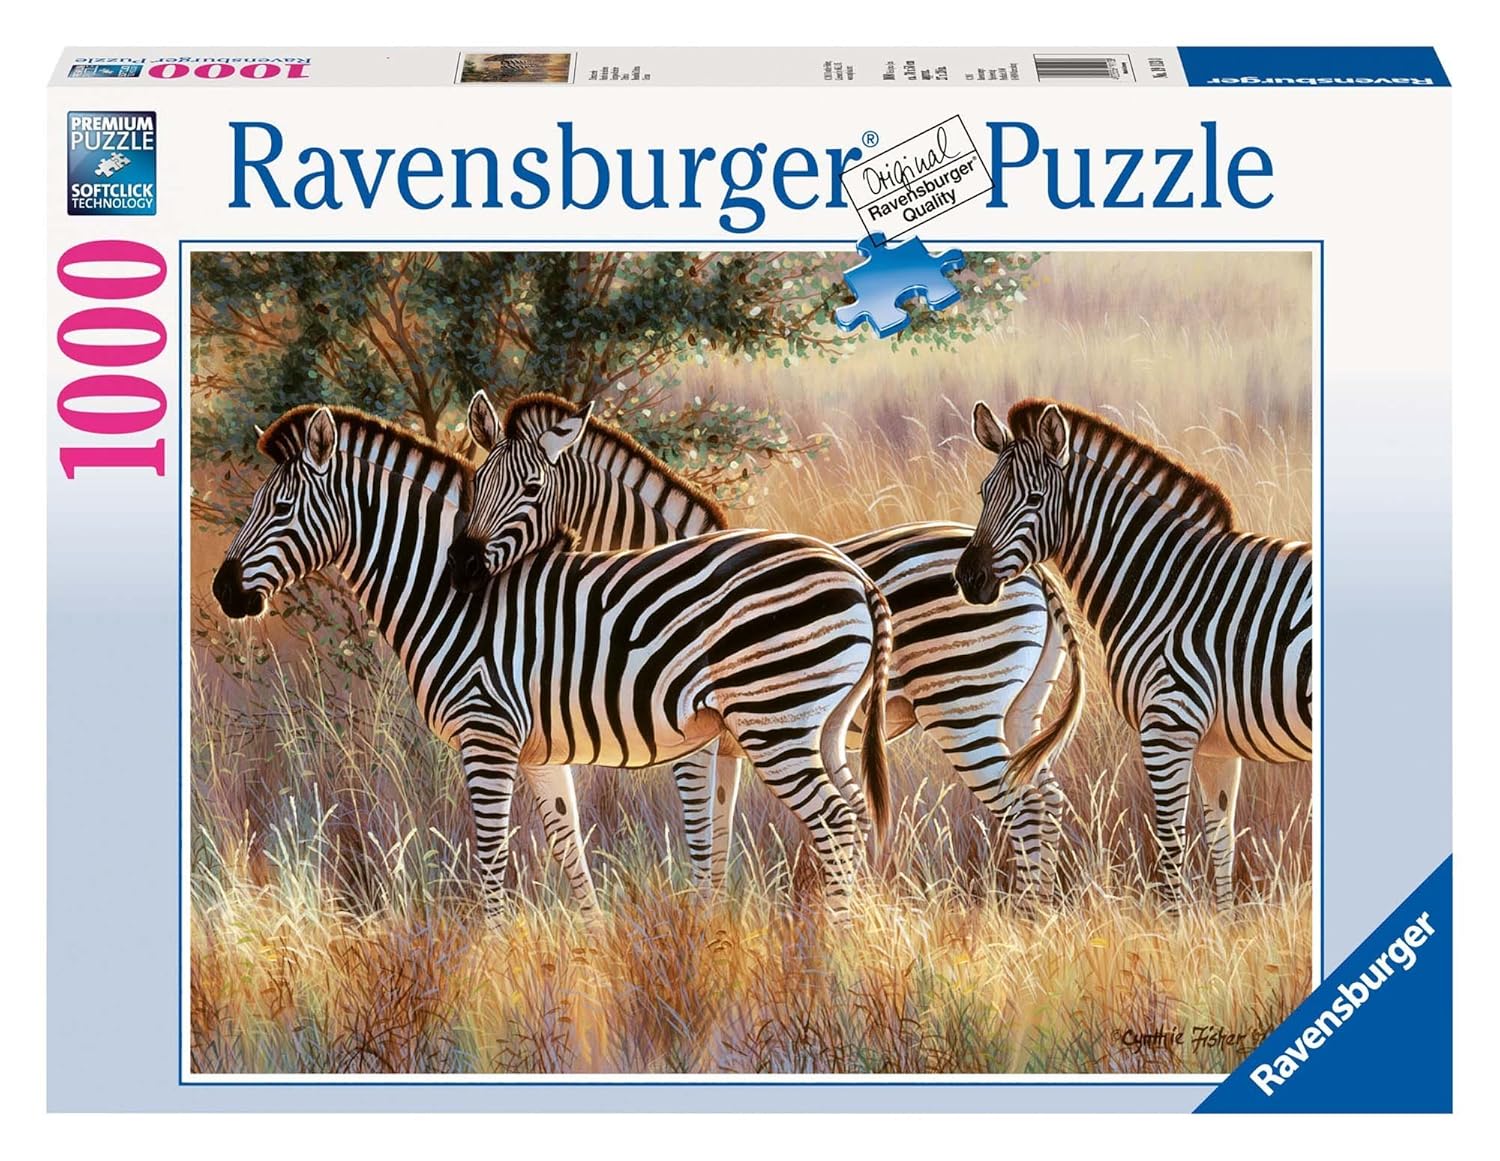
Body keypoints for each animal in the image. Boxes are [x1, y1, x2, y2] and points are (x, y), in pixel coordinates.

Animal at [212, 404, 894, 922]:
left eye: (280, 510)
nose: (221, 590)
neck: (444, 598)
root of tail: (857, 576)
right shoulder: (538, 750)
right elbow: (571, 853)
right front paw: (589, 964)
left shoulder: (485, 733)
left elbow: (491, 858)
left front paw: (492, 963)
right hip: (824, 721)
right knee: (857, 815)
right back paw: (858, 936)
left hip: (772, 718)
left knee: (835, 822)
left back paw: (831, 948)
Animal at [445, 390, 1087, 905]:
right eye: (476, 484)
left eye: (530, 489)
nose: (462, 565)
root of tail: (1033, 571)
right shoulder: (727, 739)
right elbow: (717, 834)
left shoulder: (697, 739)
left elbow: (701, 837)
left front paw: (704, 925)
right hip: (1017, 708)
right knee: (1046, 799)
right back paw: (1038, 916)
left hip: (963, 702)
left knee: (1024, 807)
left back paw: (1025, 920)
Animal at [954, 398, 1313, 910]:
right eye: (984, 494)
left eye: (1036, 500)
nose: (969, 578)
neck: (1165, 584)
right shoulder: (1215, 743)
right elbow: (1220, 838)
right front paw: (1222, 924)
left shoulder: (1168, 724)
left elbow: (1171, 842)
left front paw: (1174, 924)